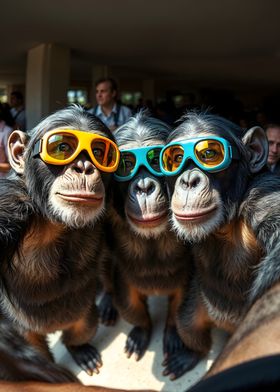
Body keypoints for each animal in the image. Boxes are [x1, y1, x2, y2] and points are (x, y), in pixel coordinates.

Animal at [0, 105, 120, 376]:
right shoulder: (10, 203)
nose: (84, 167)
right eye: (63, 147)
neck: (54, 221)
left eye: (99, 152)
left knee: (83, 326)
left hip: (82, 314)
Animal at [99, 109, 194, 376]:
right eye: (126, 164)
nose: (143, 186)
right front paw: (140, 332)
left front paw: (173, 335)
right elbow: (130, 302)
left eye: (157, 161)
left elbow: (183, 297)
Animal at [160, 112, 280, 378]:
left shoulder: (264, 194)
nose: (189, 180)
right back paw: (189, 354)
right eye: (176, 159)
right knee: (187, 323)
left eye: (208, 154)